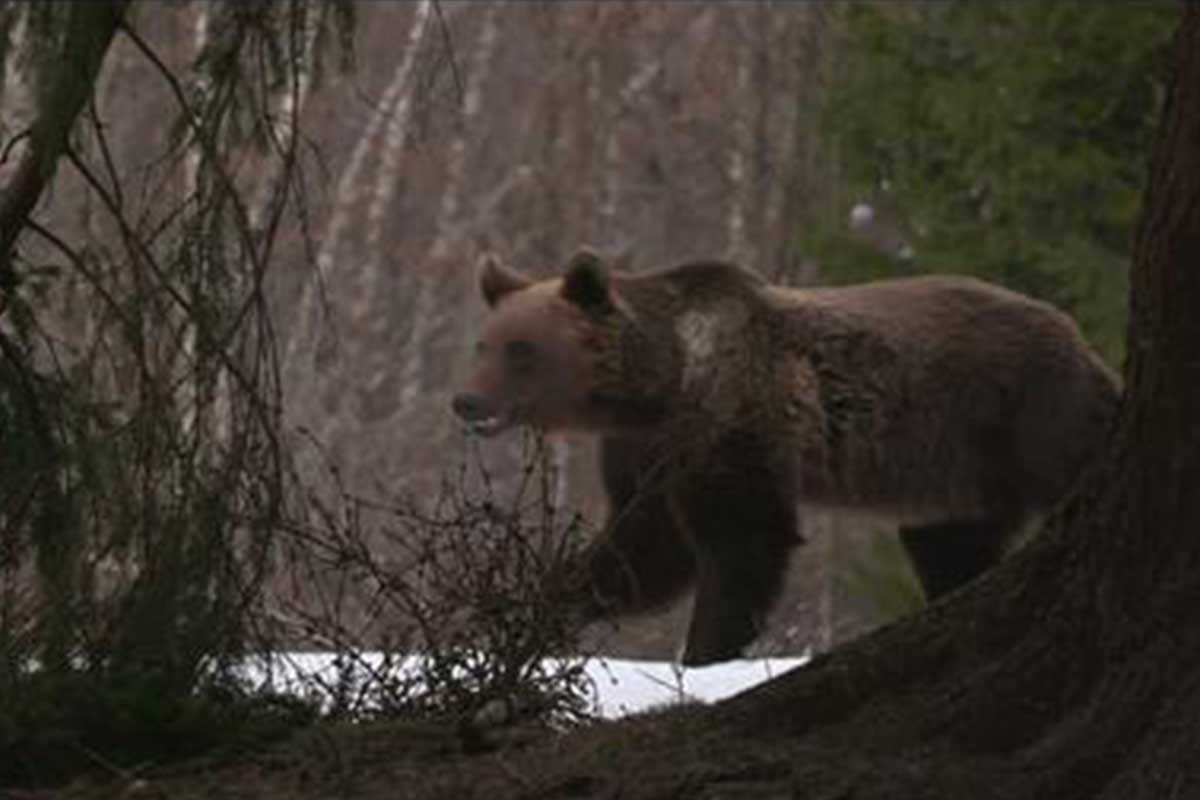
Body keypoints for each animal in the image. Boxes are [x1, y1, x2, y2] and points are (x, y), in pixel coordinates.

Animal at [451, 247, 1113, 666]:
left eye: (521, 349)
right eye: (483, 344)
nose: (466, 399)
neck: (661, 386)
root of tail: (1078, 335)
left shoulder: (731, 421)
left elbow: (743, 540)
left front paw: (706, 652)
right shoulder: (647, 455)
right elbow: (641, 551)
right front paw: (530, 609)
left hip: (1025, 409)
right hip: (950, 477)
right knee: (950, 545)